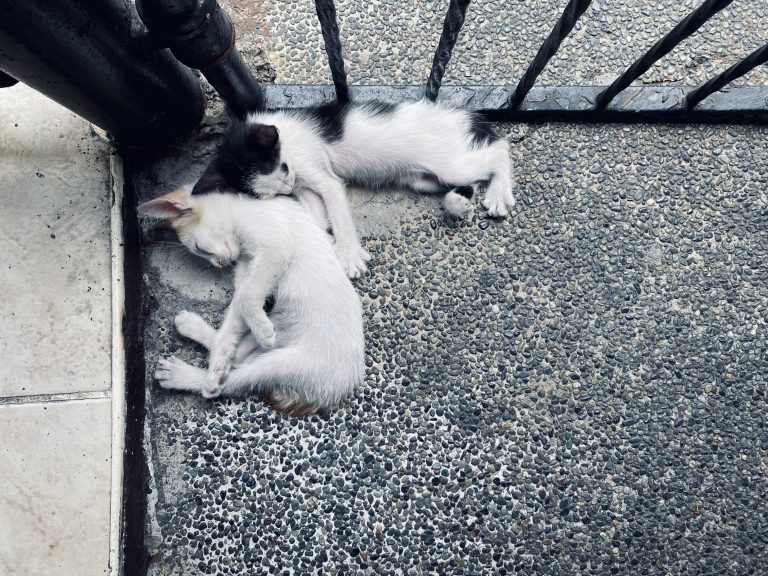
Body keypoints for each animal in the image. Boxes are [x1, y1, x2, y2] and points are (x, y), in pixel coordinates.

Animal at [139, 184, 366, 414]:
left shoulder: (275, 246)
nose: (220, 265)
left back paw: (182, 374)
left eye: (199, 248)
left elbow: (246, 298)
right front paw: (217, 365)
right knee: (238, 357)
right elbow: (236, 313)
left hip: (284, 365)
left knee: (235, 381)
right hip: (276, 332)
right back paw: (193, 331)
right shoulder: (248, 268)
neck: (241, 207)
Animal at [192, 99, 516, 280]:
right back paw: (458, 202)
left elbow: (338, 215)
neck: (286, 142)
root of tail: (461, 116)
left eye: (282, 168)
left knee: (498, 149)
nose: (288, 184)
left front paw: (348, 254)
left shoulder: (322, 177)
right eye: (270, 195)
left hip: (449, 162)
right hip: (421, 177)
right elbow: (317, 217)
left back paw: (498, 194)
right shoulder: (307, 188)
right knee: (468, 176)